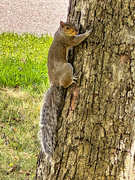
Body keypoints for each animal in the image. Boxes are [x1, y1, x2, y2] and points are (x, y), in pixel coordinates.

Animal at [39, 21, 92, 162]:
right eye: (67, 27)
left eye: (72, 24)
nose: (75, 30)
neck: (60, 32)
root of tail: (55, 81)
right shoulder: (68, 40)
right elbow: (77, 40)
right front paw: (87, 32)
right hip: (67, 67)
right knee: (65, 83)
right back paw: (73, 79)